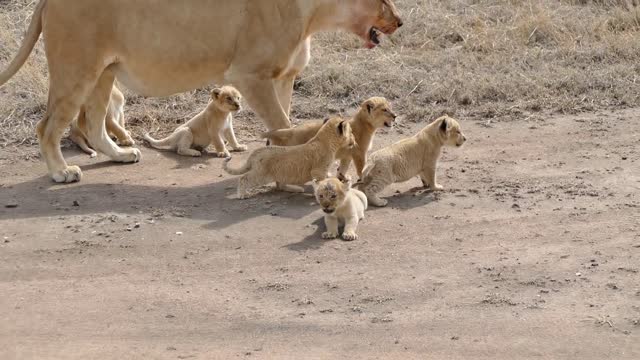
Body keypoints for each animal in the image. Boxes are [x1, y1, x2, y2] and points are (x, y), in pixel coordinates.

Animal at [0, 0, 400, 183]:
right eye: (383, 0)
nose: (400, 20)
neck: (315, 15)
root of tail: (48, 1)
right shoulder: (250, 74)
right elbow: (283, 126)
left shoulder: (283, 76)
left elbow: (285, 126)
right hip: (77, 70)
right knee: (48, 126)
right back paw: (61, 172)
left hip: (104, 73)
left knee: (95, 124)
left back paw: (121, 154)